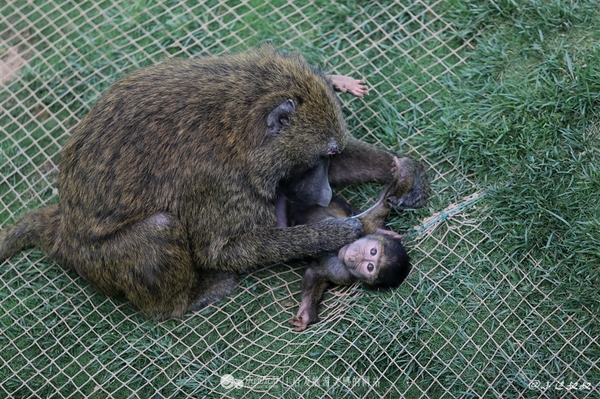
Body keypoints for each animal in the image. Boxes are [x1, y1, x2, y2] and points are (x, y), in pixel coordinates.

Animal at [288, 158, 420, 332]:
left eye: (370, 267)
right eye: (372, 251)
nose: (354, 257)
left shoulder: (341, 275)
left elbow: (316, 273)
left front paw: (306, 313)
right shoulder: (368, 224)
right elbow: (385, 202)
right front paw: (402, 174)